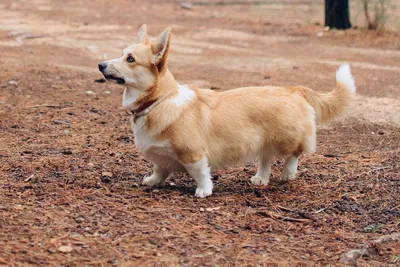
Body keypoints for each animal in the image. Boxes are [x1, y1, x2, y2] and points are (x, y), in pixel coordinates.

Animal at [99, 24, 356, 198]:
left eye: (130, 59)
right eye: (122, 53)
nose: (100, 65)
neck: (159, 101)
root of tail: (293, 89)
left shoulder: (192, 153)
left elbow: (201, 173)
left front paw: (203, 190)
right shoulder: (162, 157)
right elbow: (160, 169)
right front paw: (152, 181)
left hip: (287, 139)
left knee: (294, 153)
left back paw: (288, 173)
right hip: (264, 141)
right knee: (266, 158)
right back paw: (261, 178)